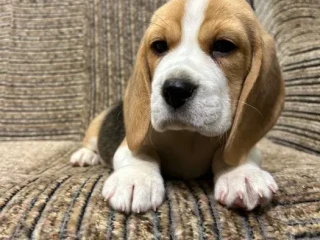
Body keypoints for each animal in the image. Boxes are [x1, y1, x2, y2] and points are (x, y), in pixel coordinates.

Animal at [70, 0, 284, 213]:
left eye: (224, 46)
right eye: (159, 46)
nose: (175, 90)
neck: (189, 136)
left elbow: (234, 150)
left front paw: (242, 173)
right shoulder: (131, 141)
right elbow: (139, 153)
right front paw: (135, 178)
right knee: (90, 142)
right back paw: (85, 155)